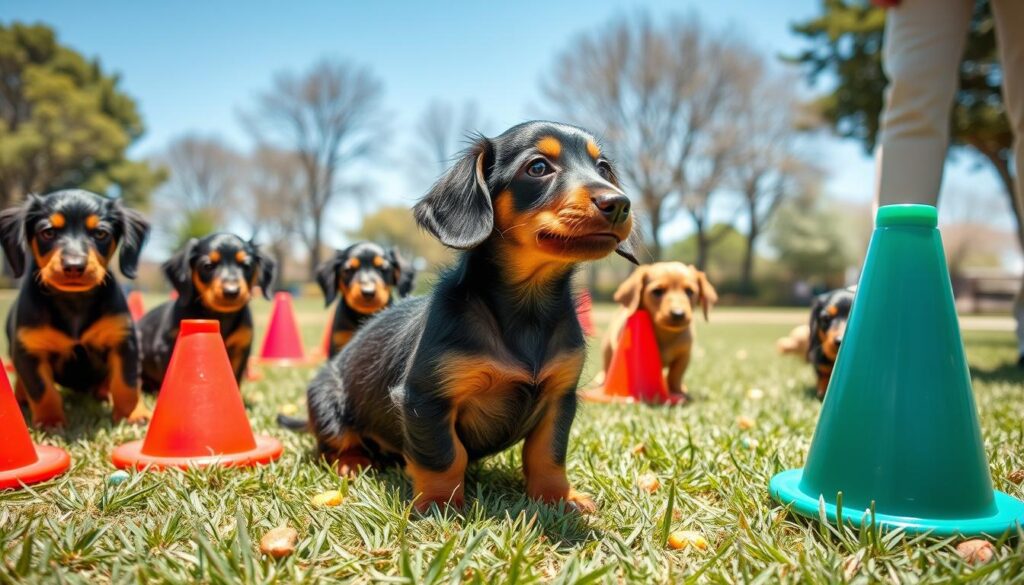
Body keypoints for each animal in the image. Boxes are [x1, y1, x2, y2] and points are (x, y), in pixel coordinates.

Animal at [0, 189, 150, 428]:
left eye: (100, 233)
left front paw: (132, 414)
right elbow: (43, 391)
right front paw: (50, 421)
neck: (74, 301)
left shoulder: (124, 342)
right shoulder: (29, 350)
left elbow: (126, 384)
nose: (73, 266)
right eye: (48, 232)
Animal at [141, 232, 276, 389]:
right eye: (208, 266)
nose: (231, 291)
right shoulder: (166, 346)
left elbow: (235, 376)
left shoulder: (241, 348)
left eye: (246, 265)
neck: (221, 316)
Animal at [303, 122, 634, 512]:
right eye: (538, 167)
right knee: (336, 442)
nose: (619, 204)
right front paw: (439, 505)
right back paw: (352, 463)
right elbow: (444, 457)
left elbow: (548, 455)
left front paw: (558, 498)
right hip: (326, 400)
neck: (527, 308)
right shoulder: (426, 400)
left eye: (603, 168)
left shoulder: (560, 397)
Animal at [598, 262, 716, 401]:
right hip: (607, 349)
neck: (665, 333)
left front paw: (678, 391)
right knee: (607, 367)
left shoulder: (684, 356)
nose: (678, 314)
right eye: (657, 292)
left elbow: (675, 376)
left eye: (689, 291)